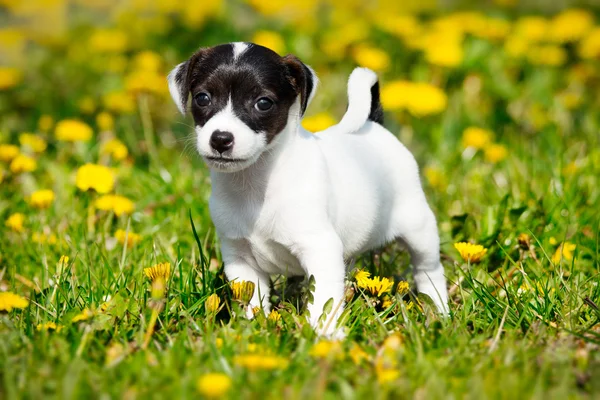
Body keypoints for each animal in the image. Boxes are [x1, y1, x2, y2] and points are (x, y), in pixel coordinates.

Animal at [166, 42, 448, 336]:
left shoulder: (320, 249)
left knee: (429, 270)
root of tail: (373, 124)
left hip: (419, 230)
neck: (256, 184)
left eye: (263, 103)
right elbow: (251, 299)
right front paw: (253, 328)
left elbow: (324, 299)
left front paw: (327, 334)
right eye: (202, 98)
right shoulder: (240, 258)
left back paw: (438, 309)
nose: (221, 139)